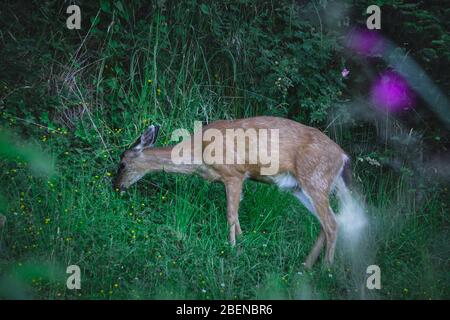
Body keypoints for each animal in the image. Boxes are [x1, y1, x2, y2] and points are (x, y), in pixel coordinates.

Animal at [112, 116, 352, 268]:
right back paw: (306, 266)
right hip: (299, 188)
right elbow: (236, 216)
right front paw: (242, 243)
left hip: (315, 179)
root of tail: (343, 157)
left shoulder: (234, 174)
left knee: (332, 223)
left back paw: (326, 270)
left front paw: (231, 248)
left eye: (122, 164)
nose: (116, 186)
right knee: (326, 223)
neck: (199, 153)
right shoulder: (234, 179)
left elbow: (230, 214)